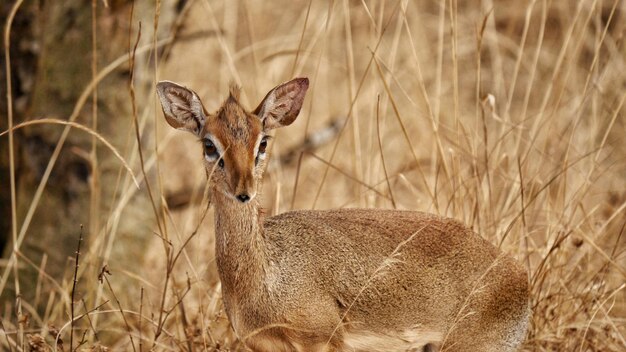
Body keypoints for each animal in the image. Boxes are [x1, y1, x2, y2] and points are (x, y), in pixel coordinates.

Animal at [155, 77, 528, 352]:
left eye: (263, 142)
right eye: (209, 144)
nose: (243, 191)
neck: (266, 275)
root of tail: (518, 274)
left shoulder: (323, 342)